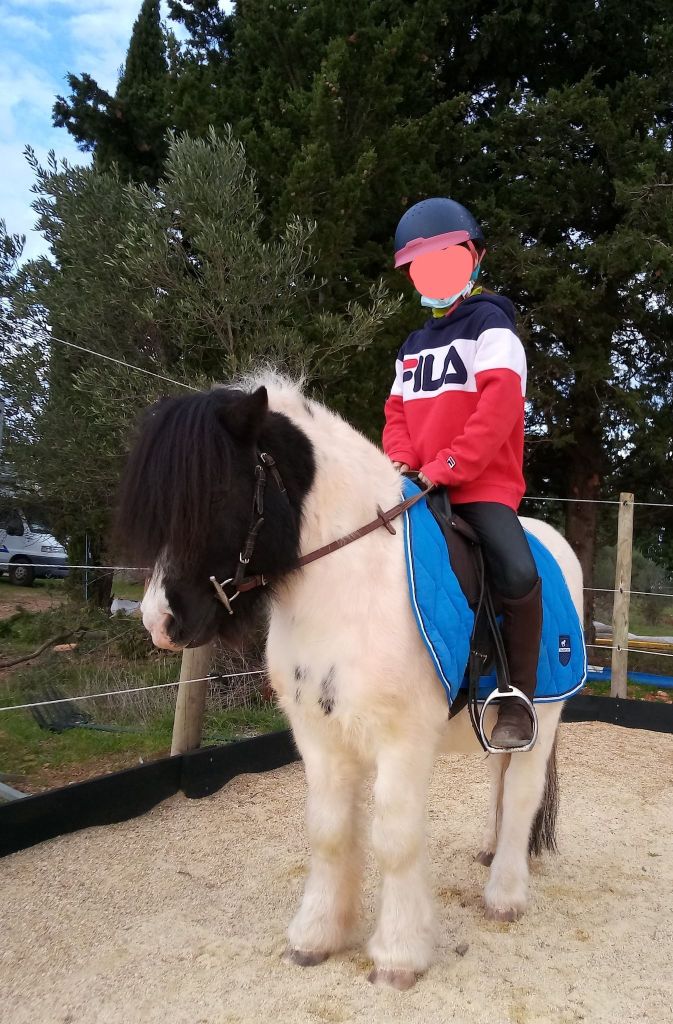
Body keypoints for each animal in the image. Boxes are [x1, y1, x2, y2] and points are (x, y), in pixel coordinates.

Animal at [116, 375, 582, 991]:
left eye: (214, 493)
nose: (159, 623)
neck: (351, 582)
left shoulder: (402, 741)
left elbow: (395, 840)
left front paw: (399, 955)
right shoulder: (319, 735)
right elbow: (329, 832)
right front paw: (316, 936)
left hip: (543, 716)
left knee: (523, 793)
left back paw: (505, 894)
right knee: (499, 783)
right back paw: (487, 852)